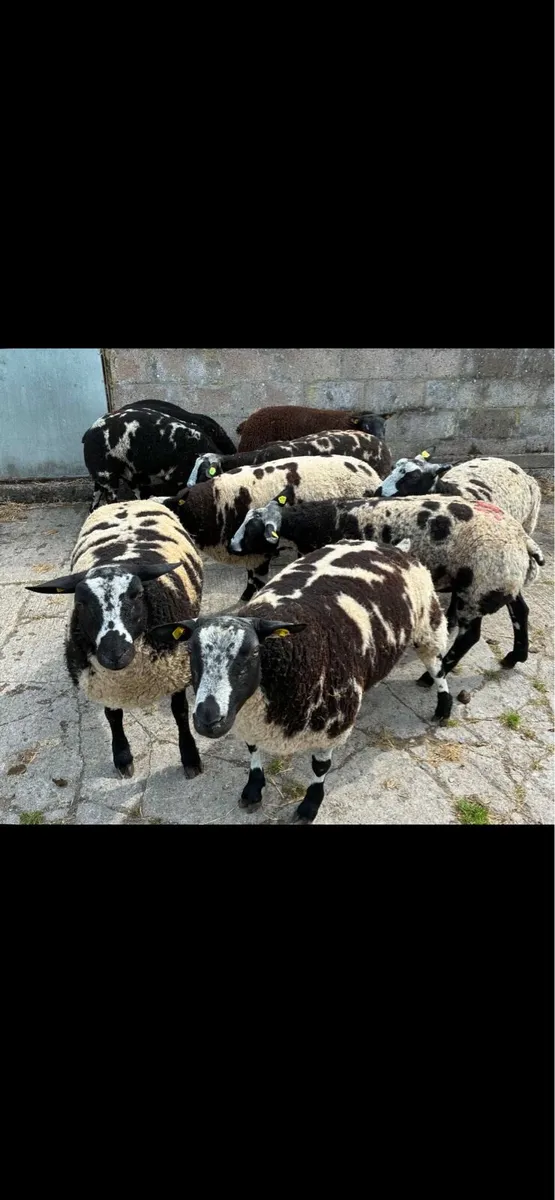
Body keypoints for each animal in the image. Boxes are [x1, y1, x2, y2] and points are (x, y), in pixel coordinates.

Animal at [26, 500, 204, 780]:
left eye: (137, 594)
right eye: (81, 602)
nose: (114, 653)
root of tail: (126, 501)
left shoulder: (176, 670)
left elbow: (180, 713)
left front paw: (190, 756)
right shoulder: (105, 684)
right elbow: (113, 717)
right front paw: (122, 757)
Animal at [82, 406, 223, 511]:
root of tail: (87, 434)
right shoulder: (174, 478)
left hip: (117, 475)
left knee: (95, 500)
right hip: (107, 475)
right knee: (110, 500)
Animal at [150, 539, 452, 824]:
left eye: (255, 652)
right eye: (190, 650)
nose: (207, 720)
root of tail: (392, 546)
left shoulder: (331, 726)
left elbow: (320, 770)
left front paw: (309, 806)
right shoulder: (250, 721)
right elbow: (252, 750)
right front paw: (253, 789)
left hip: (428, 624)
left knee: (438, 667)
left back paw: (443, 709)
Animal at [228, 493, 545, 681]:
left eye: (252, 529)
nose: (231, 546)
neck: (323, 522)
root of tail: (522, 539)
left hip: (478, 585)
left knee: (470, 635)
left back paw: (433, 676)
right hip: (501, 581)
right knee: (521, 612)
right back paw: (515, 656)